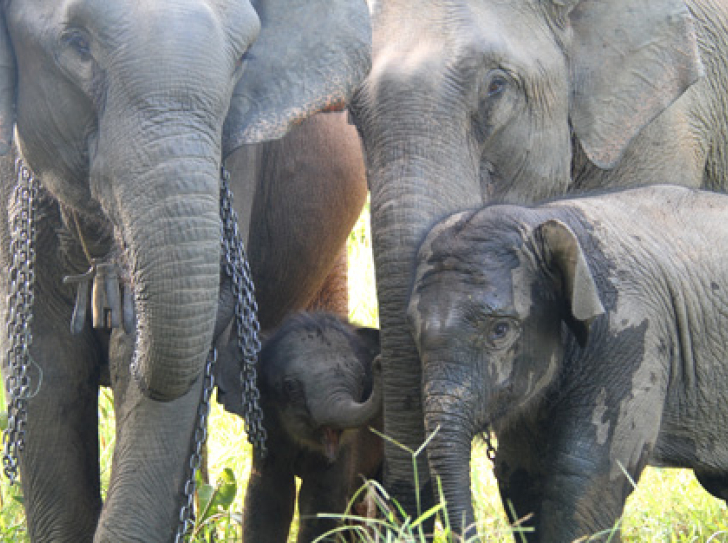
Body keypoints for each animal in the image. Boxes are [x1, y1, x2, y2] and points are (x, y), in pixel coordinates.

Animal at [219, 312, 384, 543]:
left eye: (362, 380)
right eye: (290, 387)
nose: (380, 363)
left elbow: (321, 501)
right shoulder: (269, 436)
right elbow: (268, 498)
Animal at [406, 186, 728, 543]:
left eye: (500, 330)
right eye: (411, 329)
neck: (544, 219)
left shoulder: (630, 331)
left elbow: (584, 477)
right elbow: (521, 476)